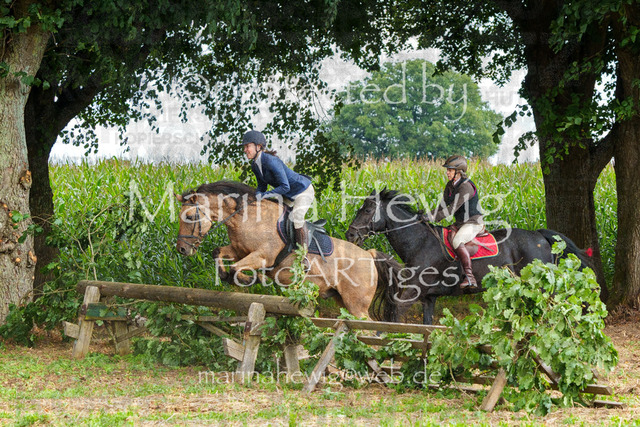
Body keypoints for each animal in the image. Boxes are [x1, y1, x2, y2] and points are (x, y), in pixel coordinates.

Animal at [175, 181, 405, 319]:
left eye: (190, 217)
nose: (182, 249)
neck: (245, 218)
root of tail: (369, 255)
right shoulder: (238, 250)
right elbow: (218, 253)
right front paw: (224, 275)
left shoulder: (262, 256)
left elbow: (237, 269)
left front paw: (254, 279)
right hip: (342, 301)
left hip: (357, 305)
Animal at [345, 189, 593, 324]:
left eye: (368, 210)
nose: (350, 234)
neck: (419, 241)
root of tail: (540, 235)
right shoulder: (428, 298)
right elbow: (426, 325)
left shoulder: (412, 292)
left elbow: (393, 314)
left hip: (539, 288)